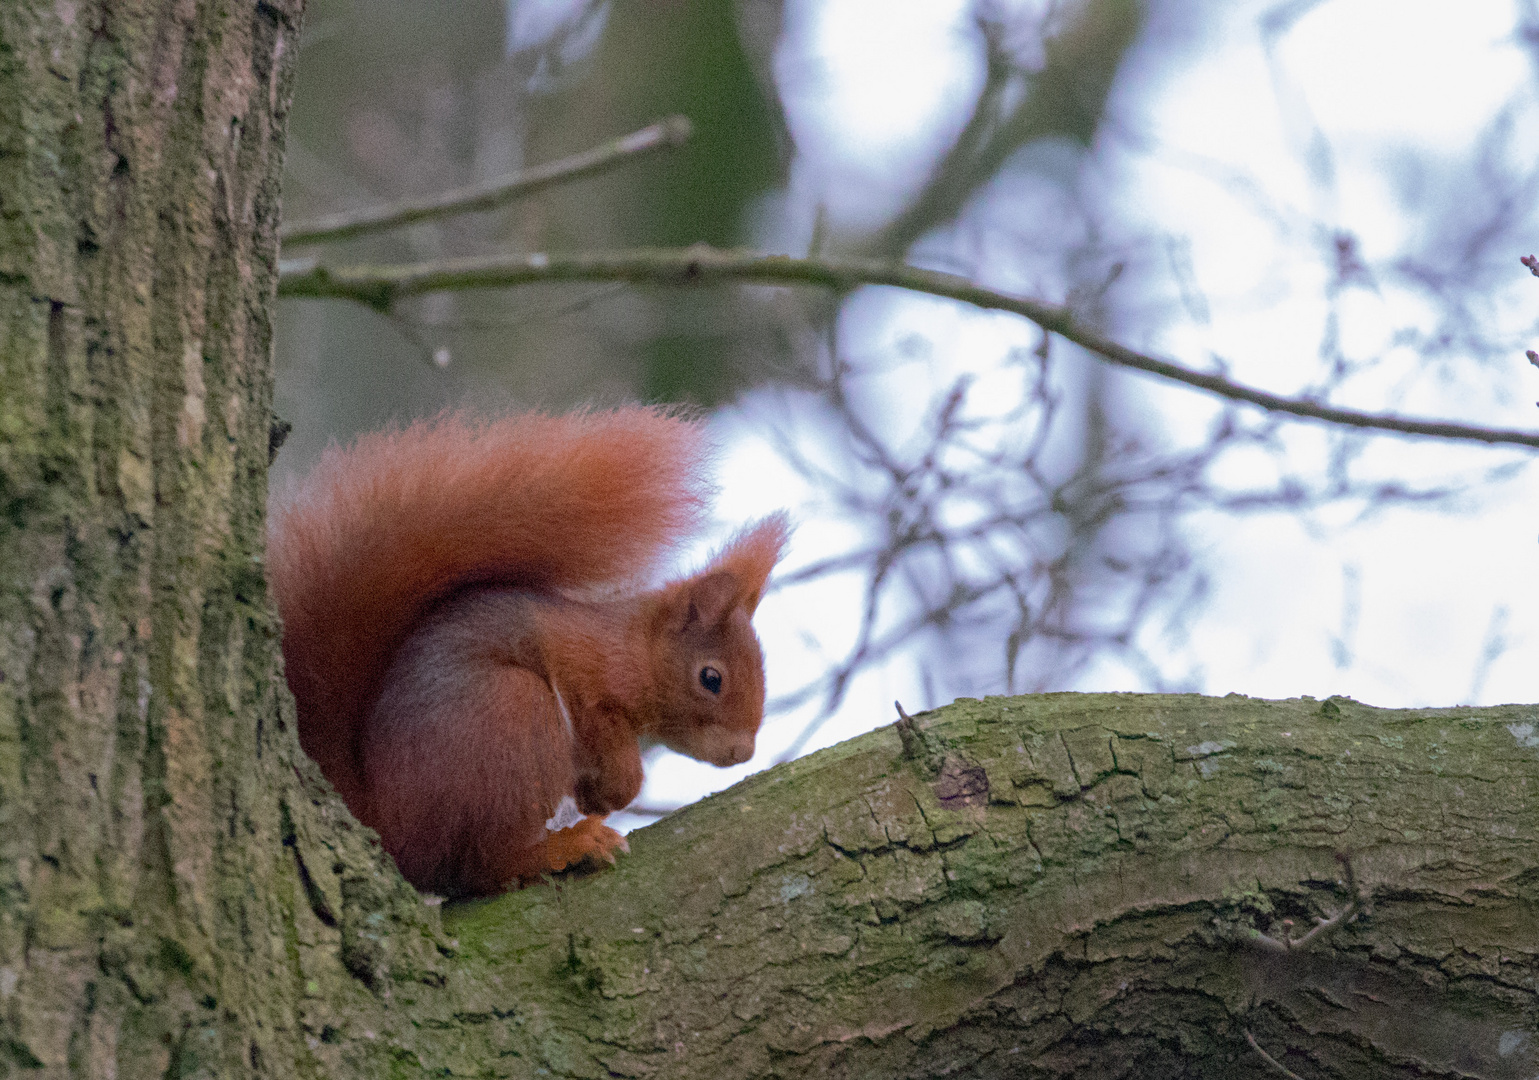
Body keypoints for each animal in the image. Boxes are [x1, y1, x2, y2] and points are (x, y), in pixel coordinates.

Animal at [269, 406, 787, 898]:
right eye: (711, 678)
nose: (743, 752)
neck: (630, 646)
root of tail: (386, 824)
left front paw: (597, 797)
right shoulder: (586, 677)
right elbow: (604, 733)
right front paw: (614, 792)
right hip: (512, 715)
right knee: (477, 865)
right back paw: (562, 847)